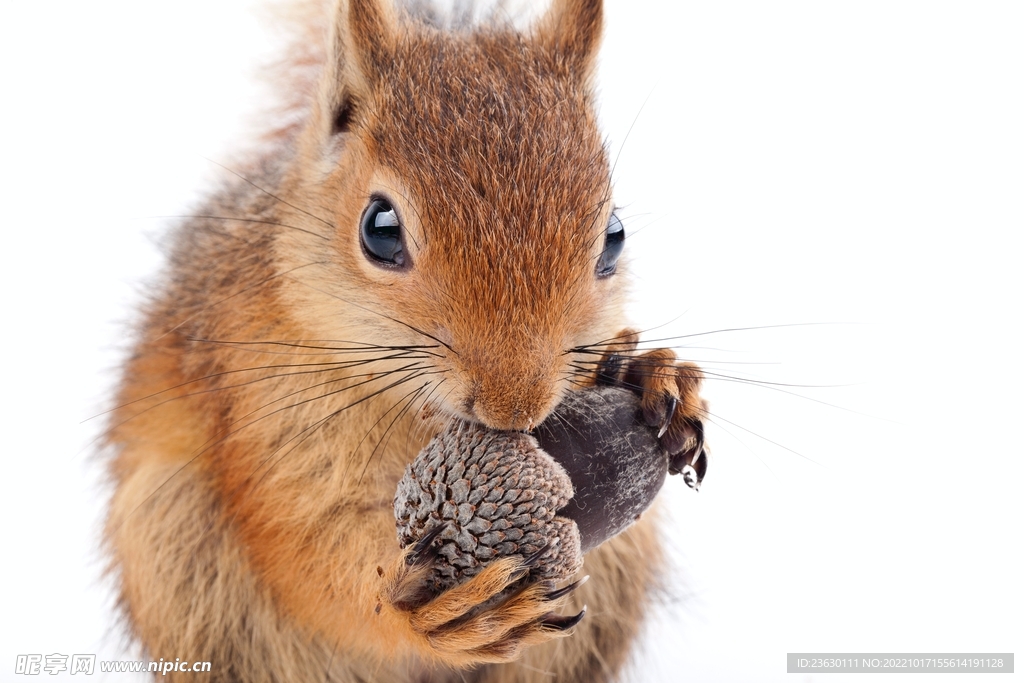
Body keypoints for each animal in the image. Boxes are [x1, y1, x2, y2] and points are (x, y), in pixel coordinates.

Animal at [105, 1, 712, 683]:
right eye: (379, 229)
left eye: (614, 235)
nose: (516, 406)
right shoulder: (258, 412)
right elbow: (305, 546)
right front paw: (417, 610)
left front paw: (655, 376)